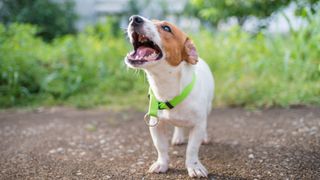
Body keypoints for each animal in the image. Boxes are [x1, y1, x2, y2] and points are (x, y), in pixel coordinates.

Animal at [125, 15, 215, 177]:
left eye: (166, 28)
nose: (134, 18)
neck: (166, 87)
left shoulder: (198, 125)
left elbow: (192, 149)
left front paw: (194, 166)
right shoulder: (156, 124)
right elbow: (160, 147)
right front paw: (162, 164)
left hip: (208, 108)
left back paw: (204, 137)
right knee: (178, 126)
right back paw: (178, 137)